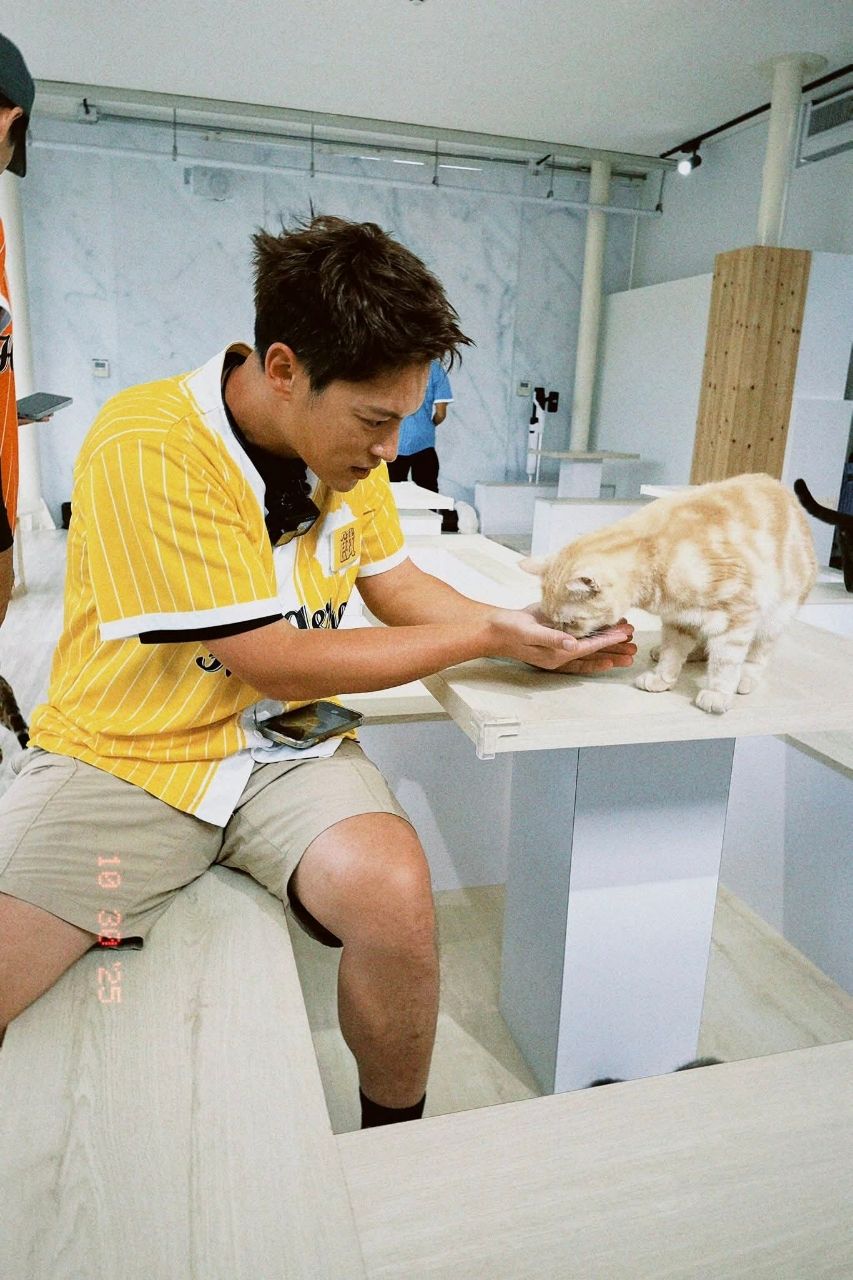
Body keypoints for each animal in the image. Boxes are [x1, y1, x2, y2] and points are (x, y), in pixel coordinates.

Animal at [520, 473, 817, 715]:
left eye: (569, 622)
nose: (566, 635)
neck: (655, 555)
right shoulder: (679, 620)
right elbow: (673, 654)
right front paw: (662, 678)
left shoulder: (737, 615)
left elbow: (726, 662)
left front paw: (718, 693)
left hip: (775, 616)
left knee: (757, 654)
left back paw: (745, 678)